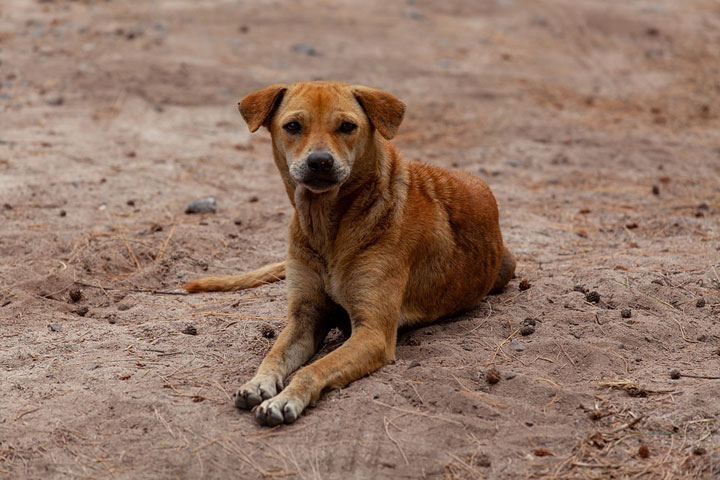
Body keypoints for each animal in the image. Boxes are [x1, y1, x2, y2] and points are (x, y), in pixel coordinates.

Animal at [183, 80, 516, 426]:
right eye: (293, 126)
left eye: (347, 126)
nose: (320, 161)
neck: (327, 227)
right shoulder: (304, 317)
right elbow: (273, 355)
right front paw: (257, 383)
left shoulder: (373, 334)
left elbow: (312, 369)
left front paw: (285, 399)